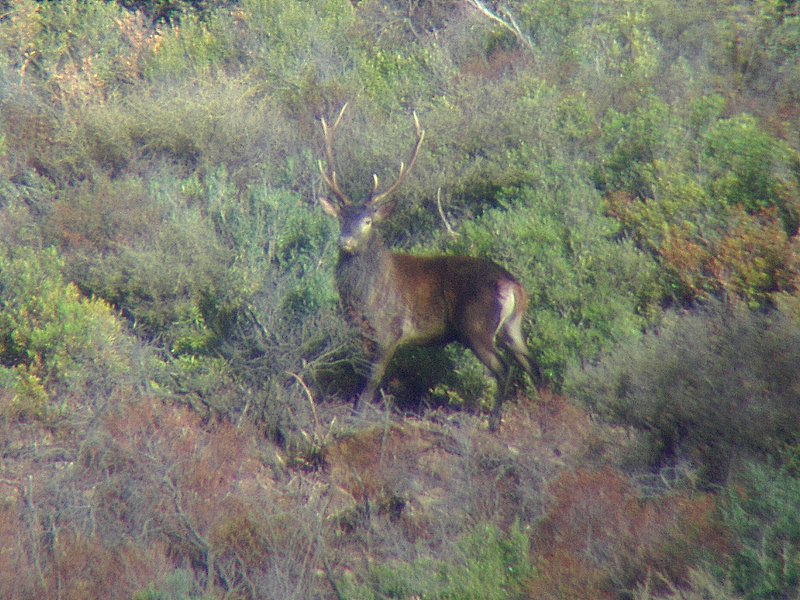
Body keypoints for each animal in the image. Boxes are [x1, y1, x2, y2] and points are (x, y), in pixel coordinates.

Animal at [318, 105, 536, 428]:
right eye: (340, 218)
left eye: (368, 221)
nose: (345, 241)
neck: (363, 296)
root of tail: (514, 285)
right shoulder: (361, 332)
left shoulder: (391, 330)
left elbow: (372, 378)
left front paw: (358, 417)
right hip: (512, 326)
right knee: (531, 364)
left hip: (477, 327)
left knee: (504, 368)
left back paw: (494, 422)